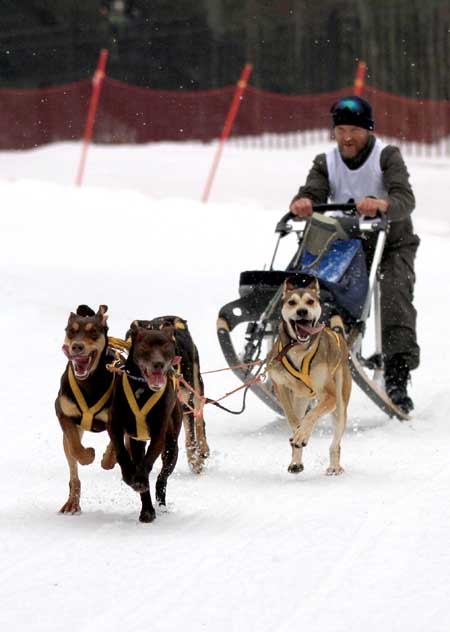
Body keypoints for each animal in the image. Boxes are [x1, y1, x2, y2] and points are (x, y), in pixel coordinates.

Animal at [54, 304, 117, 516]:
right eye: (71, 331)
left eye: (93, 332)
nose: (77, 346)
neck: (89, 383)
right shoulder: (64, 414)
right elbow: (75, 448)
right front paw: (88, 455)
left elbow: (113, 449)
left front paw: (106, 458)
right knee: (73, 472)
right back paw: (72, 502)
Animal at [109, 320, 183, 524]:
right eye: (145, 347)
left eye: (165, 346)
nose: (158, 364)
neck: (142, 388)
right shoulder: (115, 426)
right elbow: (121, 453)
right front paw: (129, 475)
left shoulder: (159, 433)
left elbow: (148, 462)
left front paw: (140, 479)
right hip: (137, 442)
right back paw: (147, 509)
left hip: (171, 447)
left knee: (162, 477)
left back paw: (155, 502)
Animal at [127, 316, 210, 474]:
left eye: (164, 344)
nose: (157, 363)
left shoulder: (184, 404)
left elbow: (190, 437)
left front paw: (194, 461)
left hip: (195, 386)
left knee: (199, 419)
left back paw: (203, 449)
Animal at [268, 278, 352, 476]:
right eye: (292, 302)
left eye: (310, 301)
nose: (302, 311)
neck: (299, 349)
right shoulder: (281, 386)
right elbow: (293, 419)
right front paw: (298, 435)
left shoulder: (330, 395)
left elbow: (311, 416)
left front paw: (302, 433)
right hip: (300, 400)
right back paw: (296, 462)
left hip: (340, 405)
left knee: (335, 443)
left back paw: (334, 466)